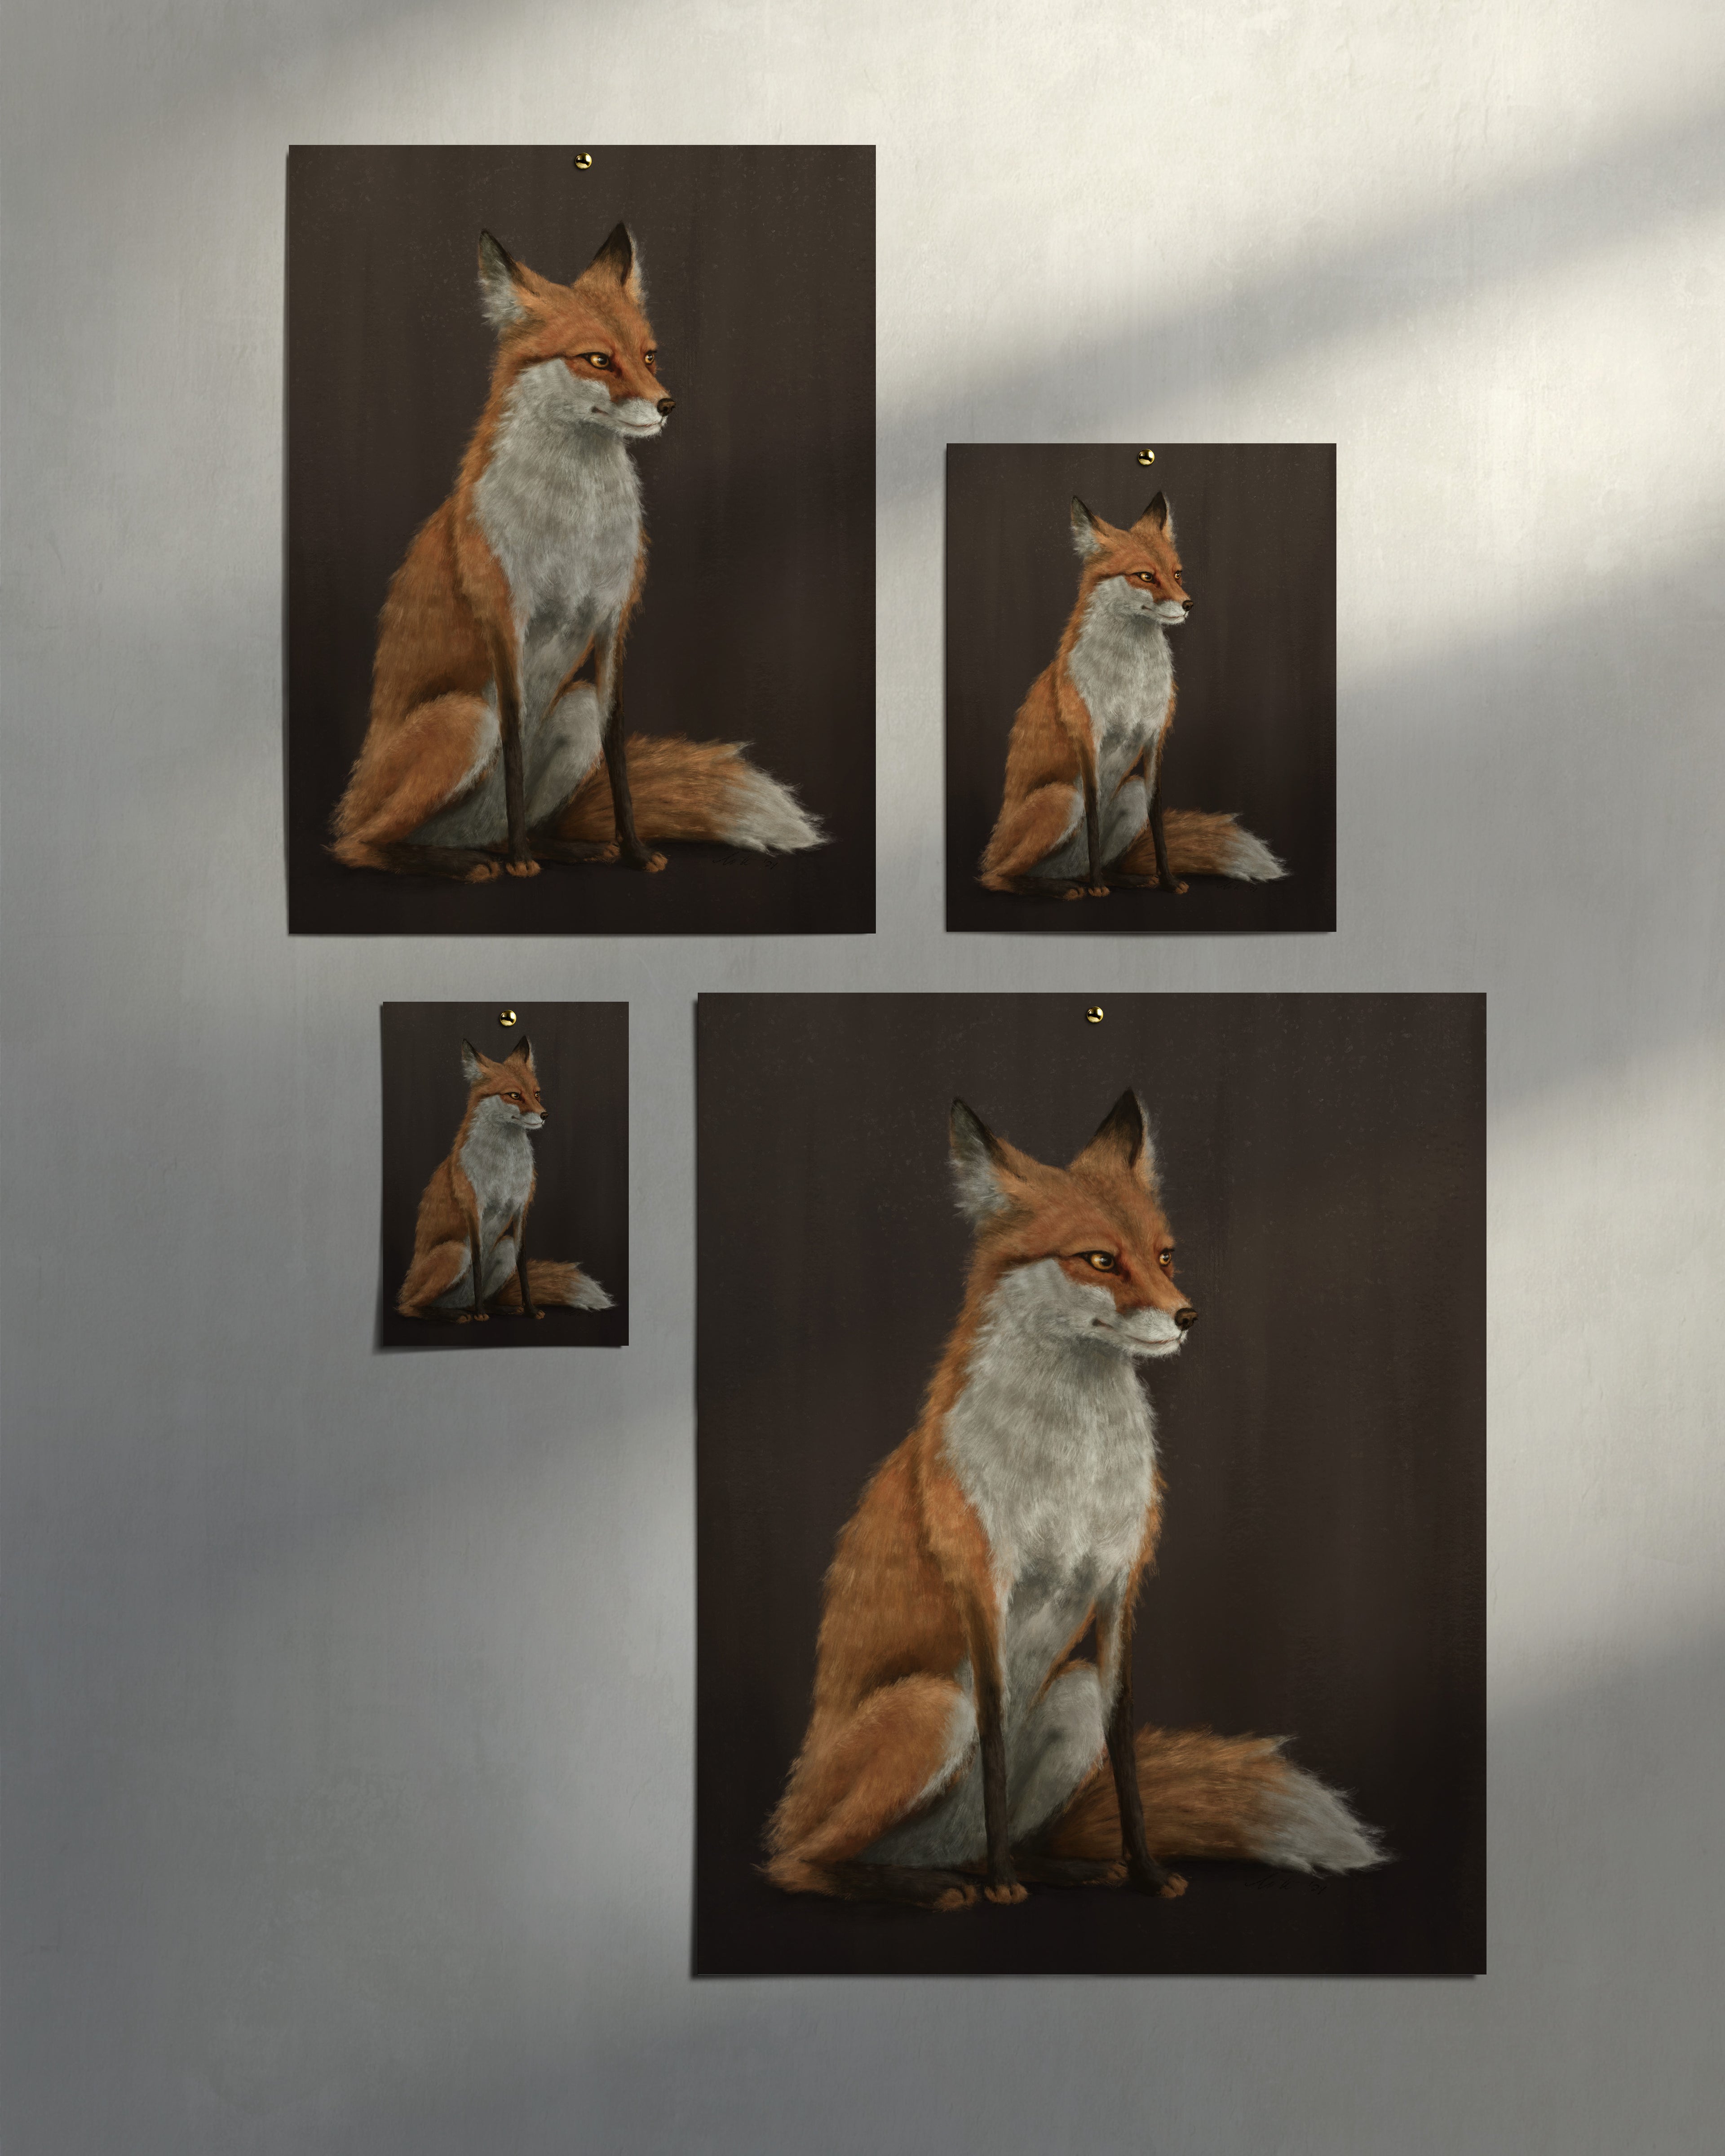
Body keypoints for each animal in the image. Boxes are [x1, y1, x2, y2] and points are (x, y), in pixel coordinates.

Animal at [332, 221, 823, 883]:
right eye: (597, 359)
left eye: (649, 355)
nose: (668, 405)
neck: (576, 526)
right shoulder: (505, 621)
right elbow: (514, 745)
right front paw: (522, 863)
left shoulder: (614, 619)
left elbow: (618, 754)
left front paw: (634, 851)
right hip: (464, 720)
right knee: (358, 845)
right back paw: (470, 861)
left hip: (575, 709)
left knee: (511, 823)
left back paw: (560, 848)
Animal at [396, 1036, 612, 1322]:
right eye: (514, 1095)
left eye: (537, 1093)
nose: (545, 1115)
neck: (505, 1168)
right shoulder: (474, 1210)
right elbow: (477, 1263)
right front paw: (481, 1315)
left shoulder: (521, 1209)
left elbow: (523, 1267)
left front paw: (530, 1309)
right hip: (455, 1252)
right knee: (409, 1307)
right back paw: (459, 1315)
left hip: (504, 1248)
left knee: (475, 1297)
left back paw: (499, 1308)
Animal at [764, 1091, 1382, 1911]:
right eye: (1099, 1259)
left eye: (1164, 1255)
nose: (1187, 1317)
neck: (1073, 1468)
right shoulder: (984, 1586)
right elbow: (994, 1739)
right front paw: (1004, 1888)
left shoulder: (1120, 1586)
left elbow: (1125, 1752)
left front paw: (1145, 1872)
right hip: (932, 1708)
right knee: (800, 1864)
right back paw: (938, 1884)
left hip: (1071, 1694)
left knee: (991, 1837)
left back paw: (1052, 1868)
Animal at [979, 493, 1286, 899]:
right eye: (1145, 576)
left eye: (1177, 574)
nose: (1188, 604)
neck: (1132, 680)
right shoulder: (1088, 740)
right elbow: (1093, 817)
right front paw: (1098, 890)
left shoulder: (1155, 739)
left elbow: (1158, 823)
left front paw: (1168, 881)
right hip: (1062, 799)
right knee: (997, 877)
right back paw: (1065, 887)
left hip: (1131, 792)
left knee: (1088, 864)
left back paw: (1124, 879)